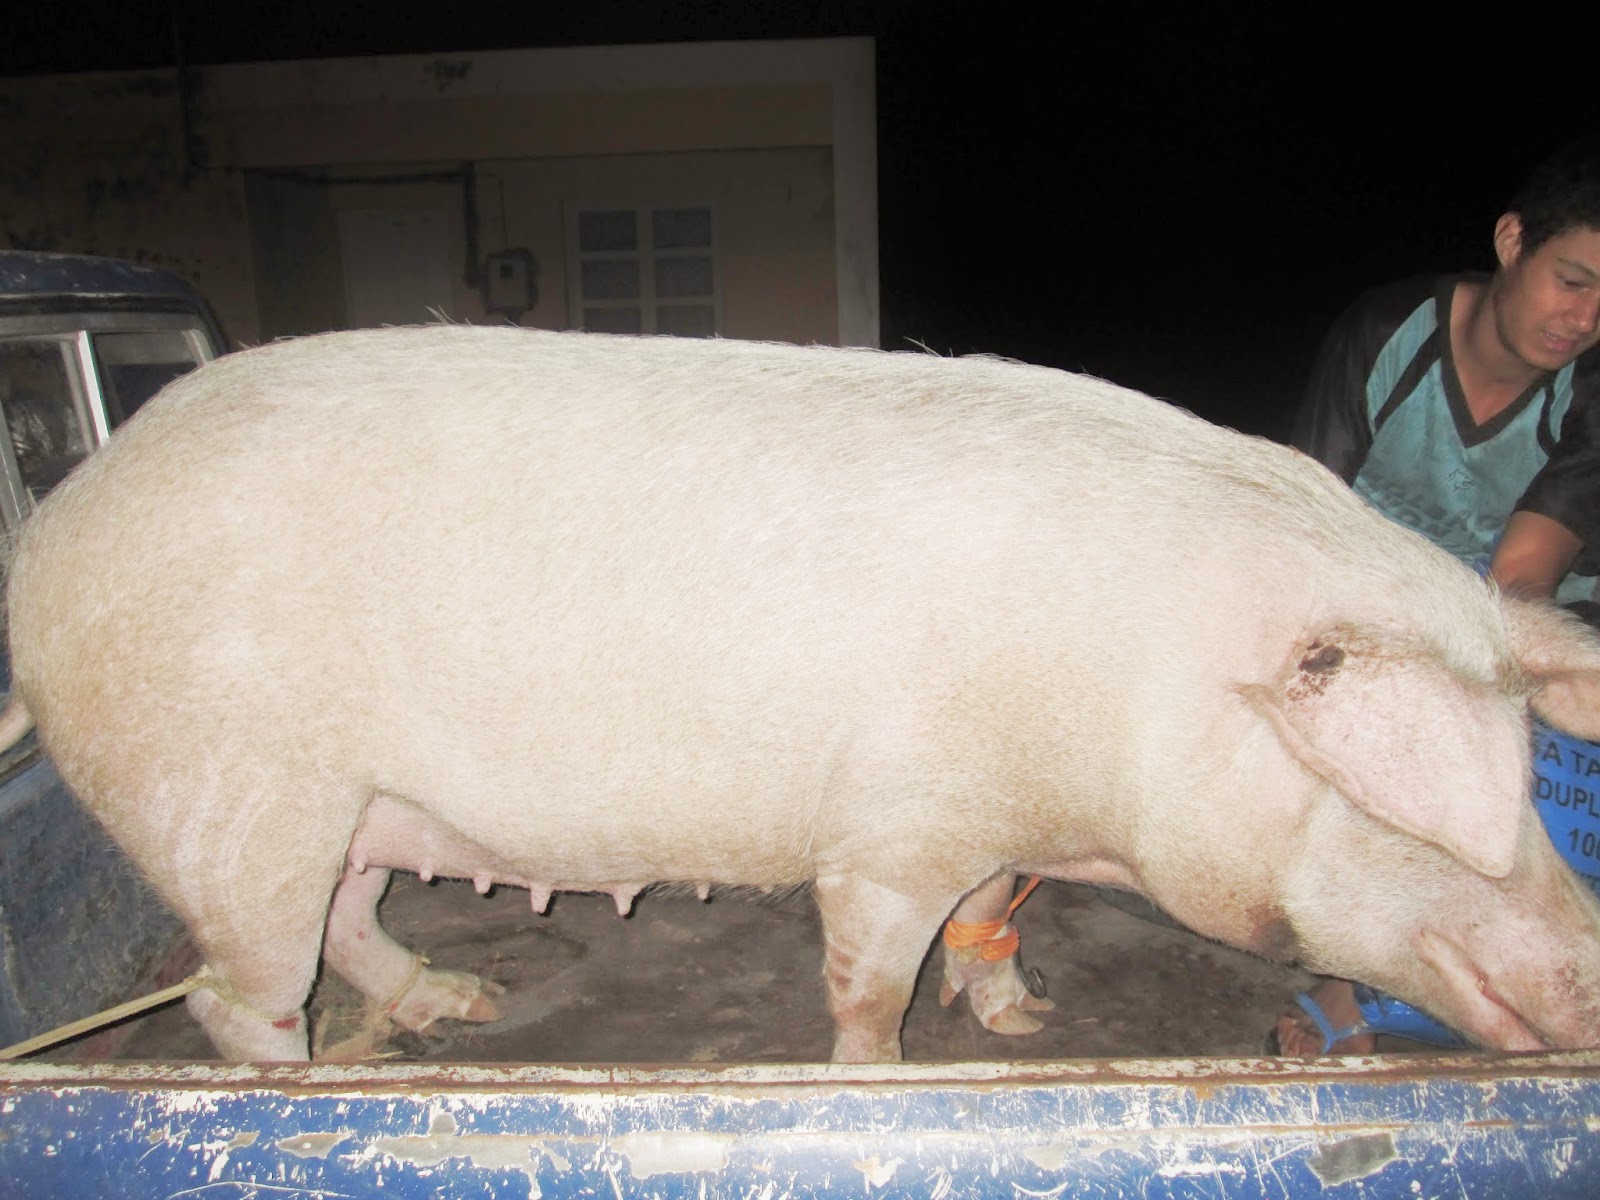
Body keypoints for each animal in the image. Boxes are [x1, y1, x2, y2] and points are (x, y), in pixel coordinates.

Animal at [4, 323, 1600, 1063]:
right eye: (1422, 813)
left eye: (1537, 780)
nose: (1588, 974)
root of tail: (55, 531)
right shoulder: (889, 824)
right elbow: (870, 973)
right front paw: (885, 1068)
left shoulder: (986, 818)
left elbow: (987, 915)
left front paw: (1019, 1024)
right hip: (228, 796)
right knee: (234, 995)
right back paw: (305, 1081)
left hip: (345, 807)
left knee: (349, 916)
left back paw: (456, 1003)